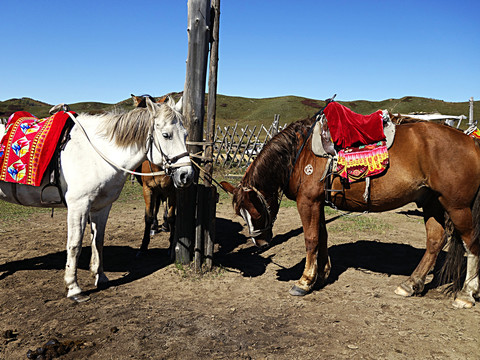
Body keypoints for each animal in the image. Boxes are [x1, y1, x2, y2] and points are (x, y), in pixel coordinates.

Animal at [131, 94, 176, 255]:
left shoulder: (172, 190)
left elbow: (171, 216)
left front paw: (171, 244)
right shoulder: (148, 189)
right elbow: (149, 216)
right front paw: (143, 246)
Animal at [223, 112, 480, 306]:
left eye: (255, 212)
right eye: (240, 214)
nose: (260, 244)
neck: (299, 153)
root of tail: (470, 141)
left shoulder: (307, 202)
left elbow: (311, 239)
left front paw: (304, 281)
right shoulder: (319, 202)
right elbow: (323, 237)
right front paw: (322, 275)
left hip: (457, 206)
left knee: (471, 243)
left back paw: (466, 294)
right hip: (432, 202)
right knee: (435, 241)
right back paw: (411, 284)